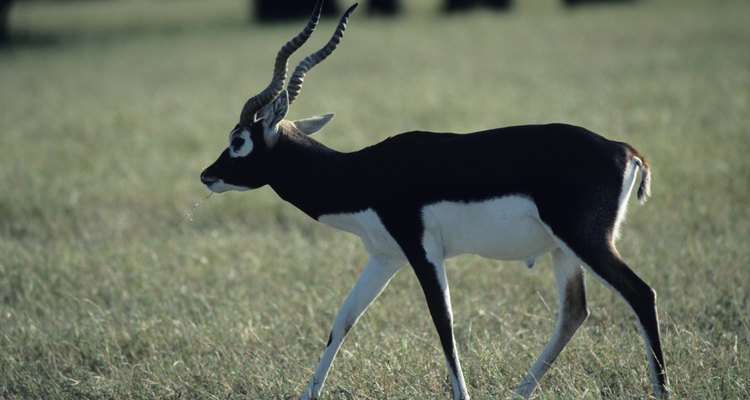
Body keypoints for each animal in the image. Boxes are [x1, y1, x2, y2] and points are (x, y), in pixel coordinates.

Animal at [200, 1, 668, 398]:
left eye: (238, 140)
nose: (207, 175)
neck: (363, 174)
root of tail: (625, 149)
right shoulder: (384, 257)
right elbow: (342, 321)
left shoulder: (423, 251)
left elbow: (443, 323)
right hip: (562, 250)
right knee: (574, 312)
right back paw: (519, 391)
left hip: (586, 241)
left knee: (641, 294)